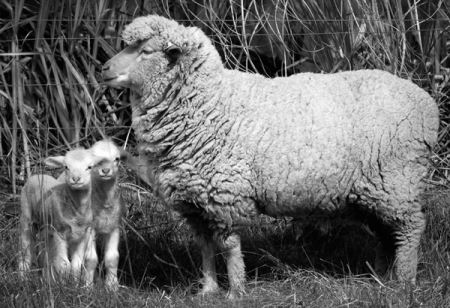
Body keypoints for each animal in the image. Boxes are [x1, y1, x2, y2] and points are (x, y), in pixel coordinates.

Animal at [18, 148, 106, 286]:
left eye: (89, 167)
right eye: (66, 167)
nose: (76, 178)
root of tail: (36, 175)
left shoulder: (82, 235)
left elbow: (76, 264)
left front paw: (74, 285)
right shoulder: (59, 232)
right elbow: (64, 264)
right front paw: (63, 286)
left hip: (47, 229)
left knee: (45, 254)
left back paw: (46, 279)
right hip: (26, 218)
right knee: (25, 252)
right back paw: (23, 280)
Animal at [101, 15, 440, 298]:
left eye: (146, 51)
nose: (104, 68)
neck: (209, 102)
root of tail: (426, 101)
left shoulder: (224, 194)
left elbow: (229, 247)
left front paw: (236, 291)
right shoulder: (194, 200)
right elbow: (205, 248)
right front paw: (207, 291)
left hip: (398, 180)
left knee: (410, 228)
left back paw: (405, 282)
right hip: (373, 190)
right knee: (386, 233)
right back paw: (381, 279)